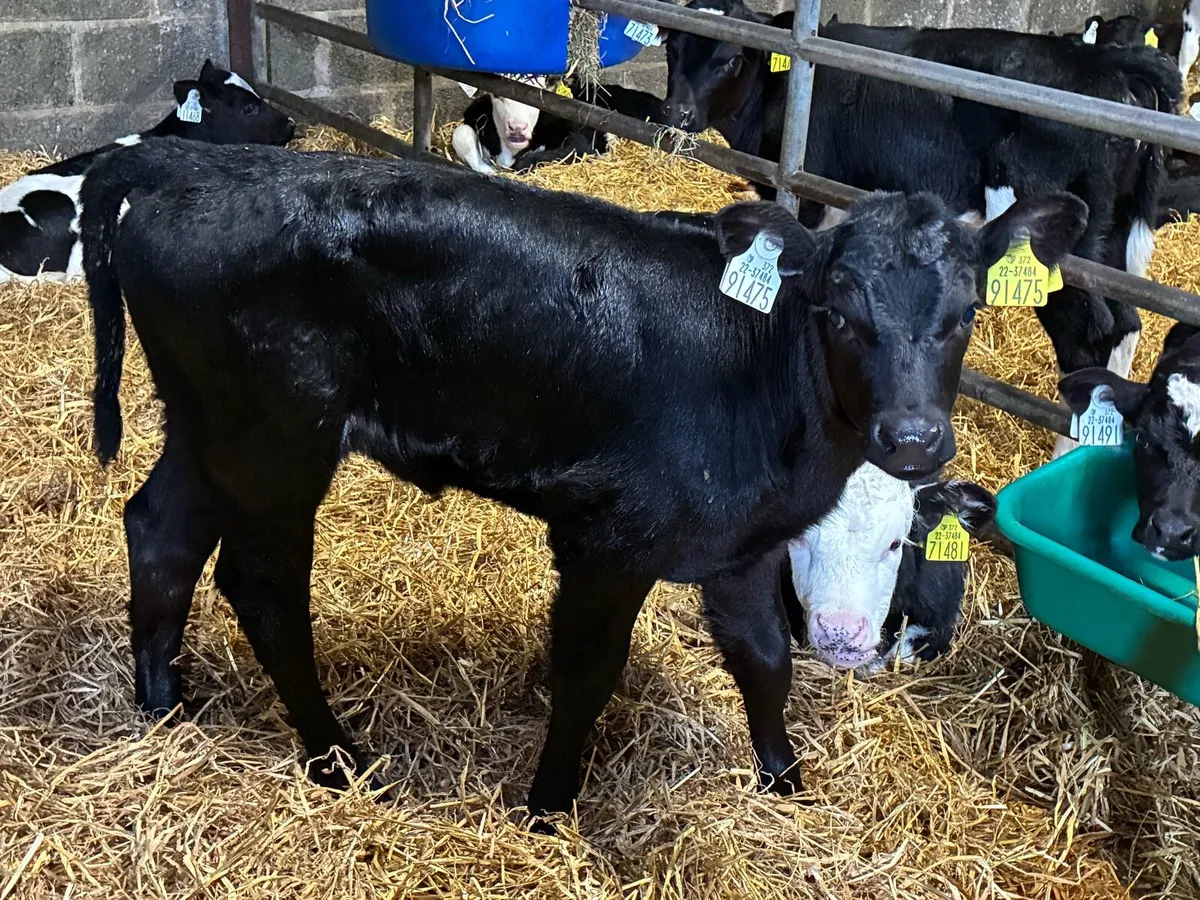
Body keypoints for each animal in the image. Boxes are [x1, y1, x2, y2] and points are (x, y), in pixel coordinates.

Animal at [451, 78, 665, 174]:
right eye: (498, 94)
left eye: (537, 95)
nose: (518, 127)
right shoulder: (475, 113)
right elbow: (460, 134)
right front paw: (488, 169)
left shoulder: (580, 135)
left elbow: (567, 150)